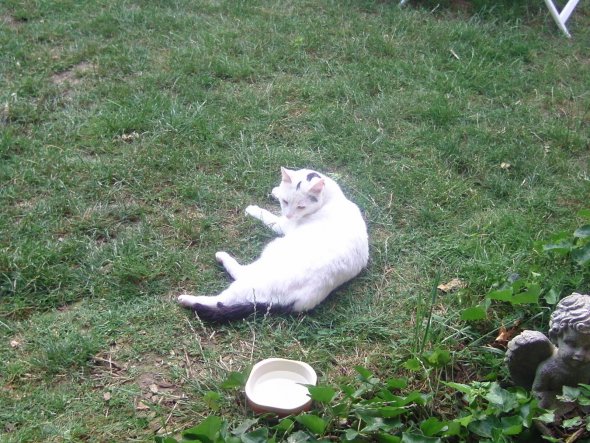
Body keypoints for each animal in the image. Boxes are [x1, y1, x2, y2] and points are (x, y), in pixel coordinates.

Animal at [178, 167, 368, 322]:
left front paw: (253, 209)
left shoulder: (284, 225)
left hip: (263, 263)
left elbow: (269, 216)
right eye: (285, 201)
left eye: (301, 207)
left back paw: (189, 297)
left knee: (226, 295)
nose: (289, 215)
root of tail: (299, 303)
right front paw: (276, 190)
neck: (332, 198)